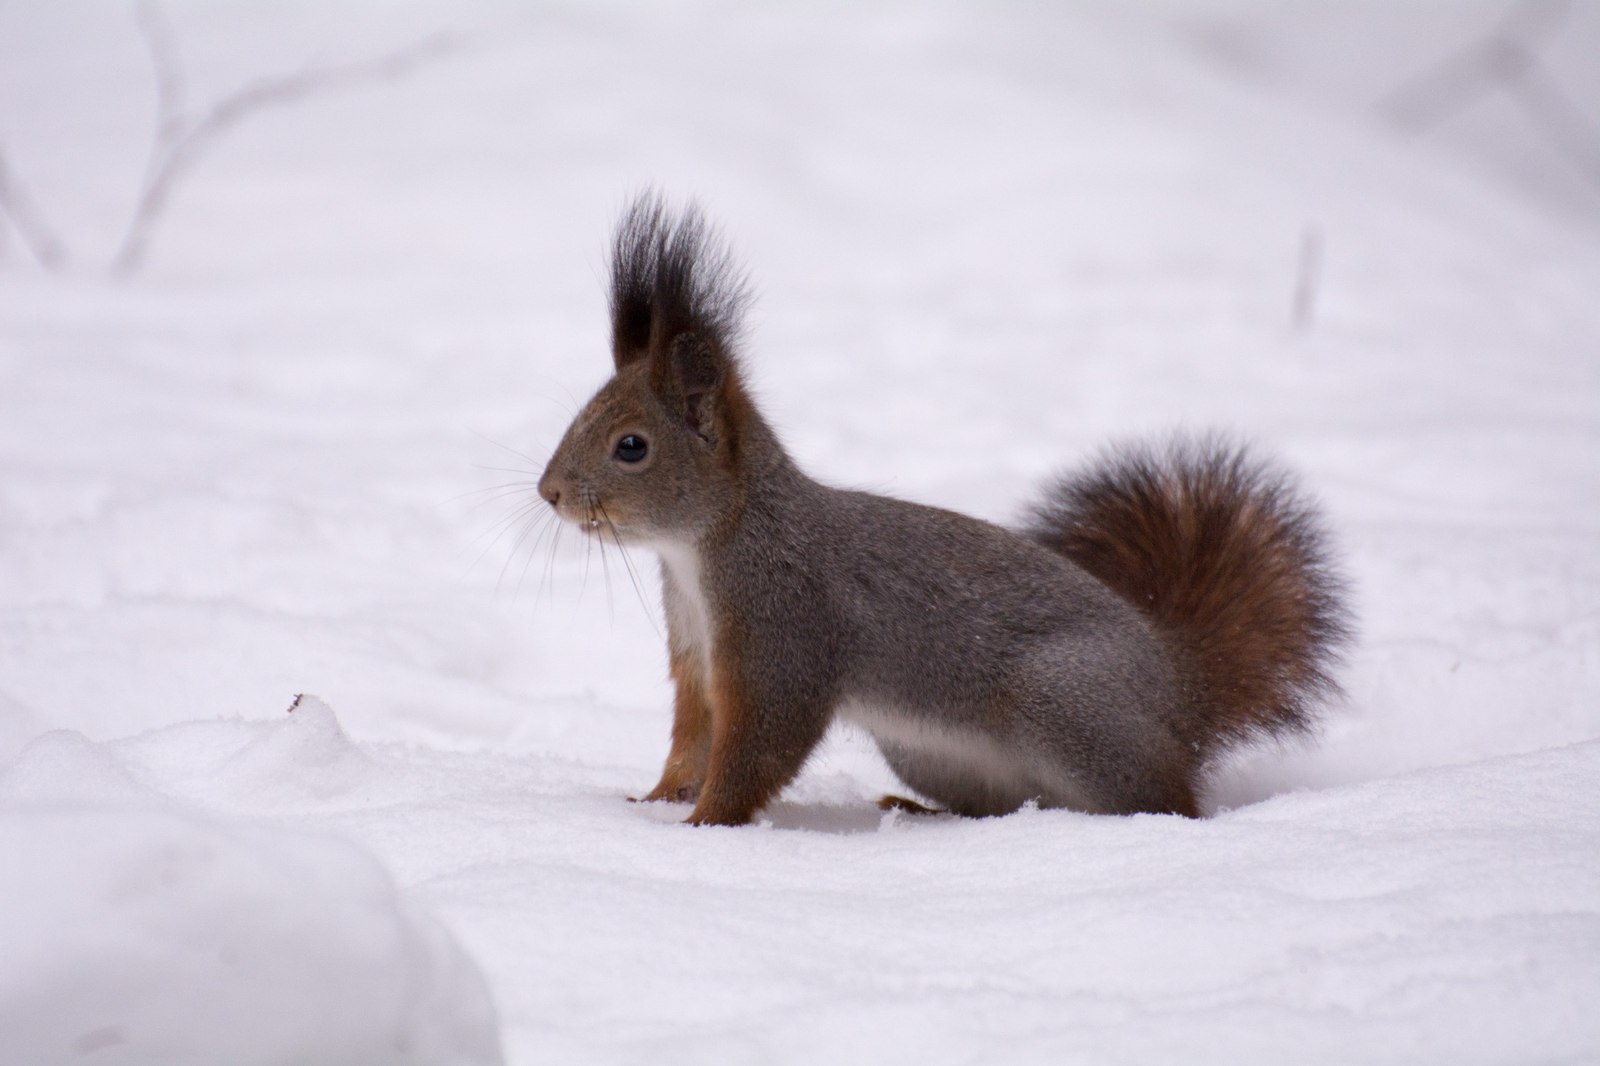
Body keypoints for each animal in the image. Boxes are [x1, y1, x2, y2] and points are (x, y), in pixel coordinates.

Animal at [537, 192, 1350, 819]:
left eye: (631, 446)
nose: (549, 494)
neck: (708, 546)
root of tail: (1182, 689)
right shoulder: (697, 655)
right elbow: (693, 738)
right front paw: (654, 799)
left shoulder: (784, 633)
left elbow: (757, 746)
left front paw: (704, 824)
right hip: (929, 749)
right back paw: (921, 810)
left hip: (1067, 707)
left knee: (1167, 800)